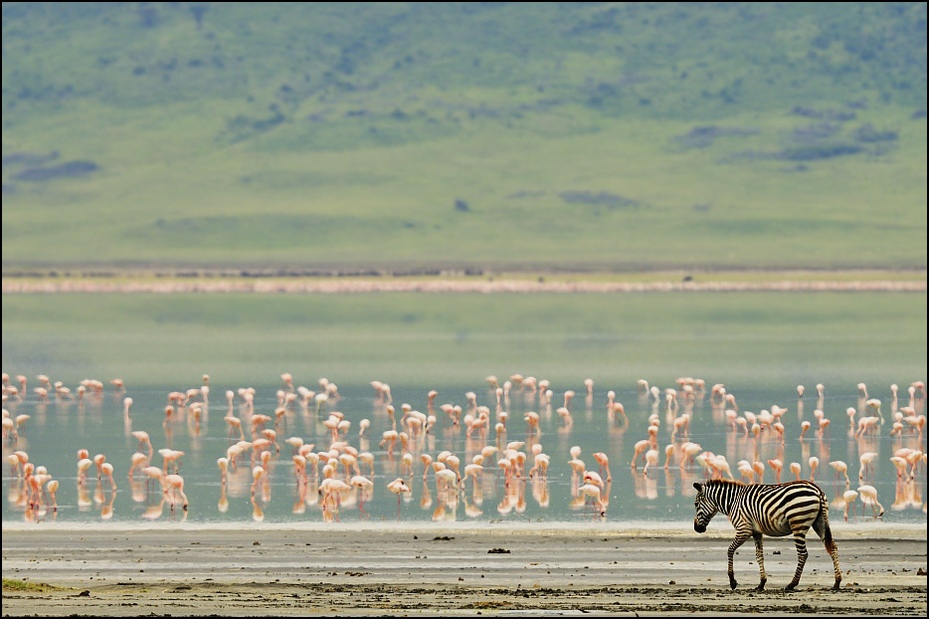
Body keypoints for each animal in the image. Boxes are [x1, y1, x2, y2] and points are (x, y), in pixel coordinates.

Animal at [688, 480, 840, 592]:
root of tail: (817, 489)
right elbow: (759, 556)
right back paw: (837, 582)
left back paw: (791, 584)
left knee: (803, 554)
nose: (697, 528)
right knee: (832, 548)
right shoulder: (756, 532)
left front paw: (732, 581)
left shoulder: (744, 529)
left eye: (696, 504)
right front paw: (761, 583)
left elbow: (730, 550)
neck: (732, 502)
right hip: (819, 522)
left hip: (798, 524)